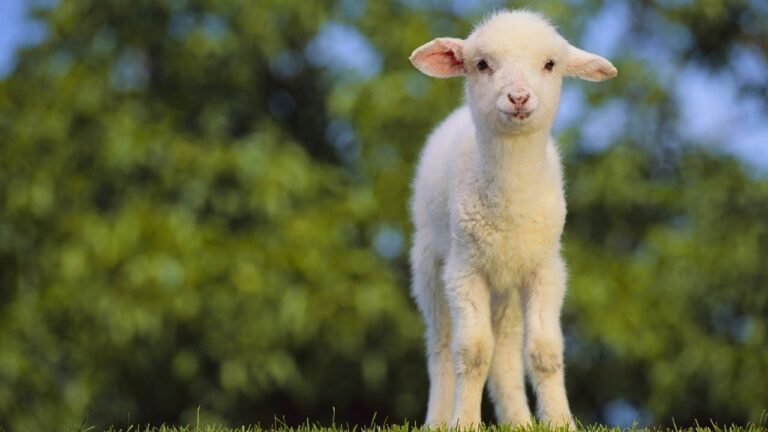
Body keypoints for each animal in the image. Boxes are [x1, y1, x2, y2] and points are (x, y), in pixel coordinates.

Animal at [407, 9, 617, 429]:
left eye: (550, 64)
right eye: (482, 64)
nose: (518, 97)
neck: (511, 205)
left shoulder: (545, 268)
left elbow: (545, 351)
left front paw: (561, 422)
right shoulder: (464, 270)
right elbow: (472, 351)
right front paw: (464, 422)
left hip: (507, 285)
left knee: (505, 349)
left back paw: (519, 420)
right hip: (429, 265)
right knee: (441, 346)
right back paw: (438, 419)